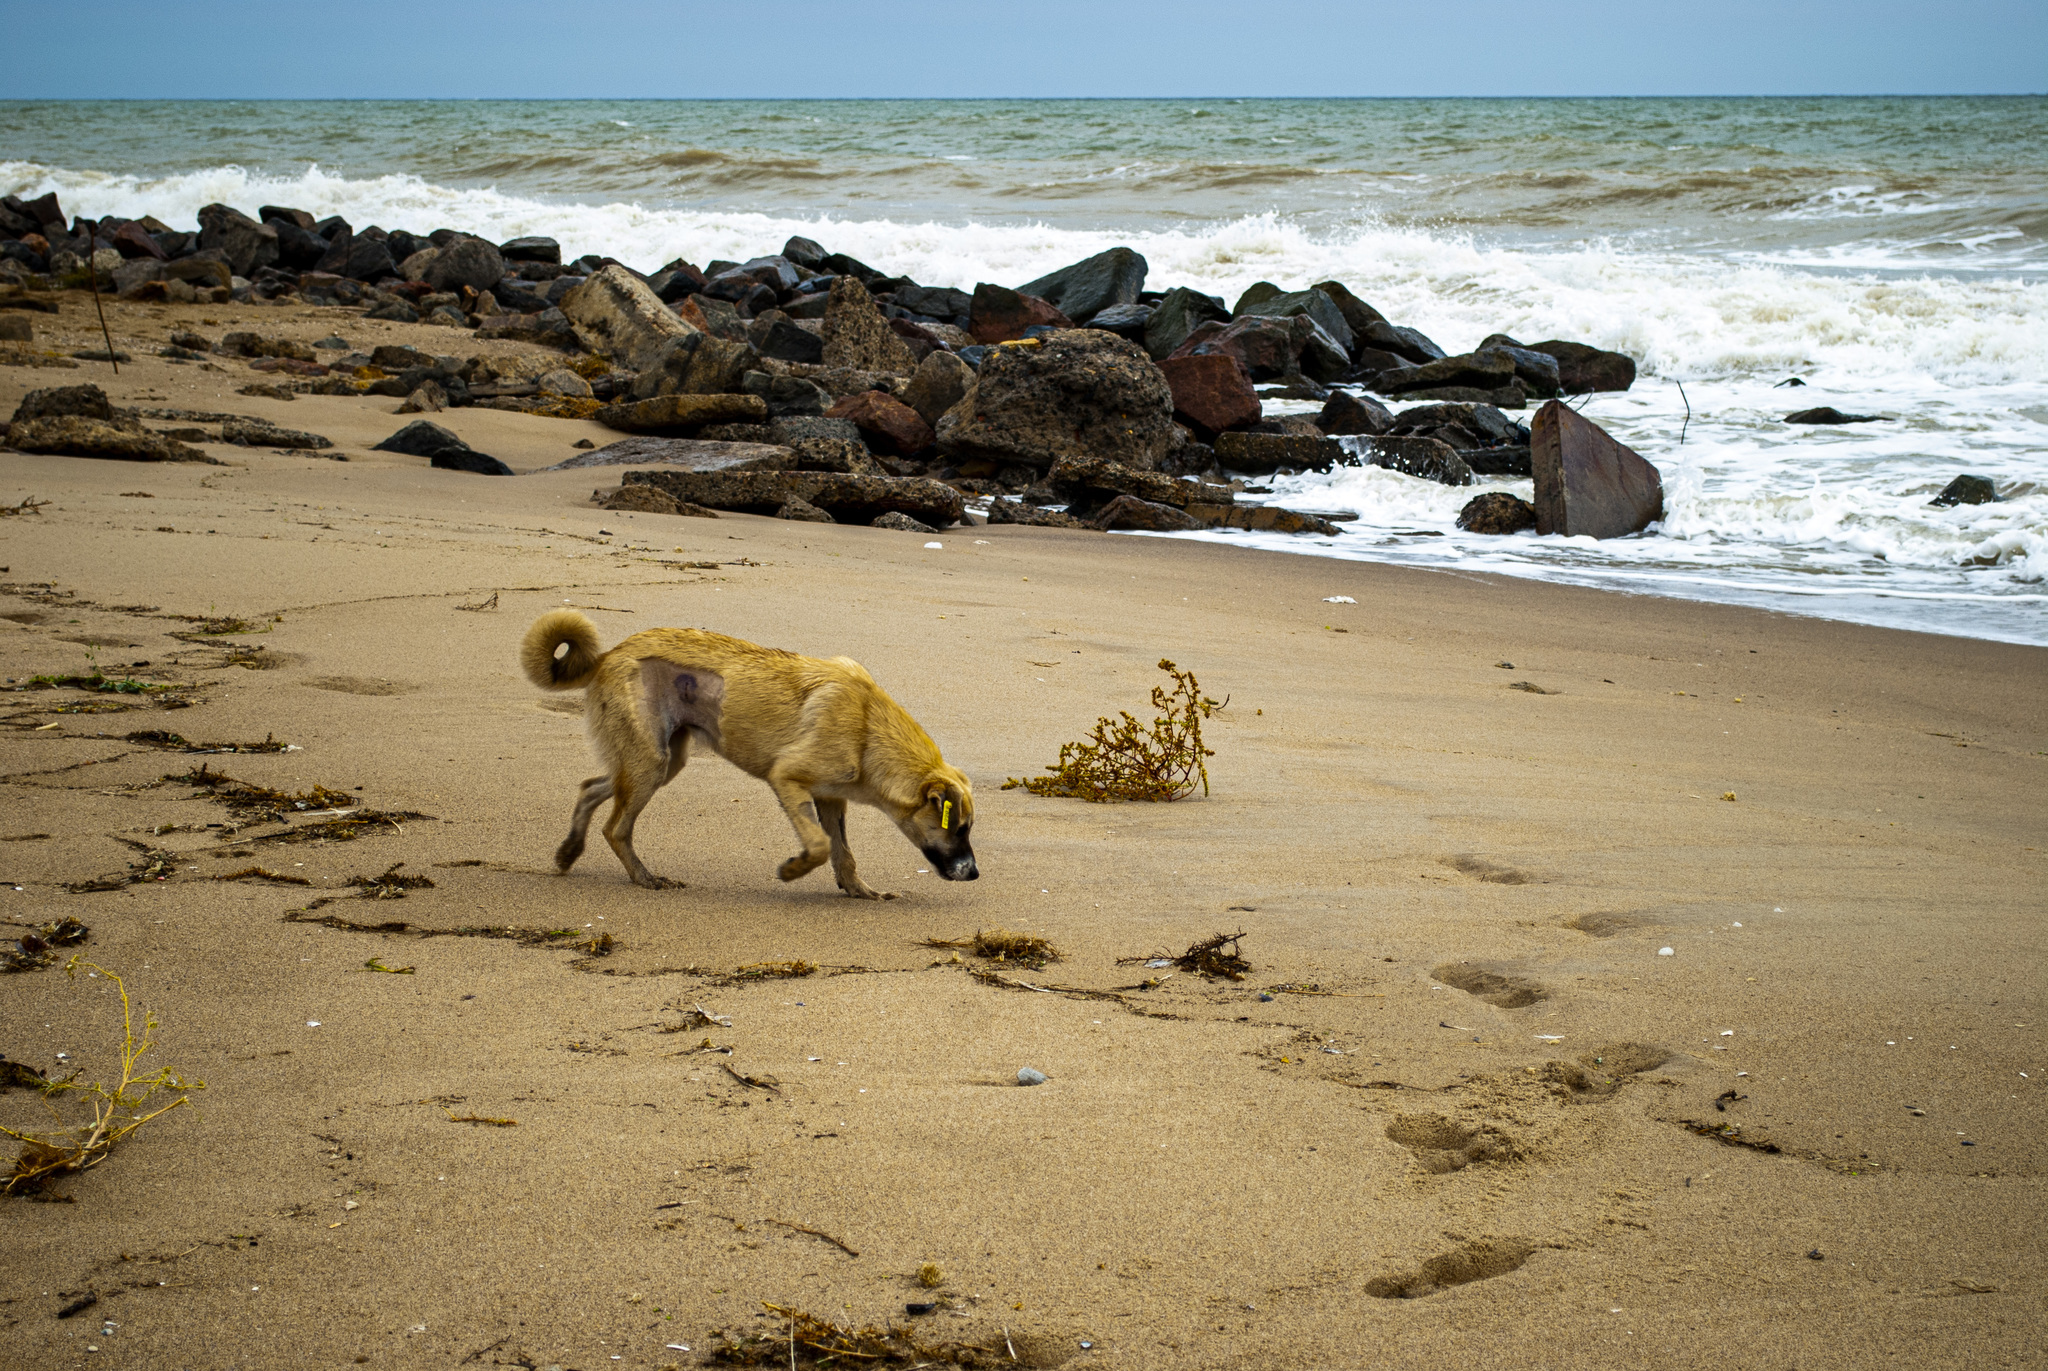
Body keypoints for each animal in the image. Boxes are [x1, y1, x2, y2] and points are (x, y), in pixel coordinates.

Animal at [524, 610, 978, 897]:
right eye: (959, 829)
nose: (975, 874)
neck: (868, 728)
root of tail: (610, 653)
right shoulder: (787, 778)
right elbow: (819, 845)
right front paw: (793, 870)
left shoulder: (831, 798)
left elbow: (842, 851)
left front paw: (856, 889)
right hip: (650, 763)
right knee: (616, 828)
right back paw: (644, 878)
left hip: (660, 761)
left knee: (591, 787)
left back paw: (569, 852)